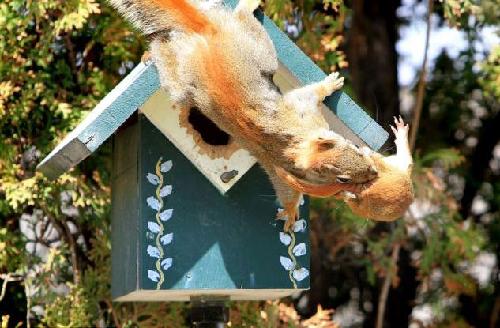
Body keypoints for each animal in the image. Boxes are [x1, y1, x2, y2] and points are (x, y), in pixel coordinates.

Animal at [107, 0, 376, 231]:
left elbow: (307, 95)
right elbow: (286, 191)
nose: (374, 173)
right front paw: (290, 211)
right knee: (241, 22)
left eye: (354, 146)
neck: (305, 147)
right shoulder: (285, 160)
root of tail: (209, 37)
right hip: (256, 53)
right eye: (342, 178)